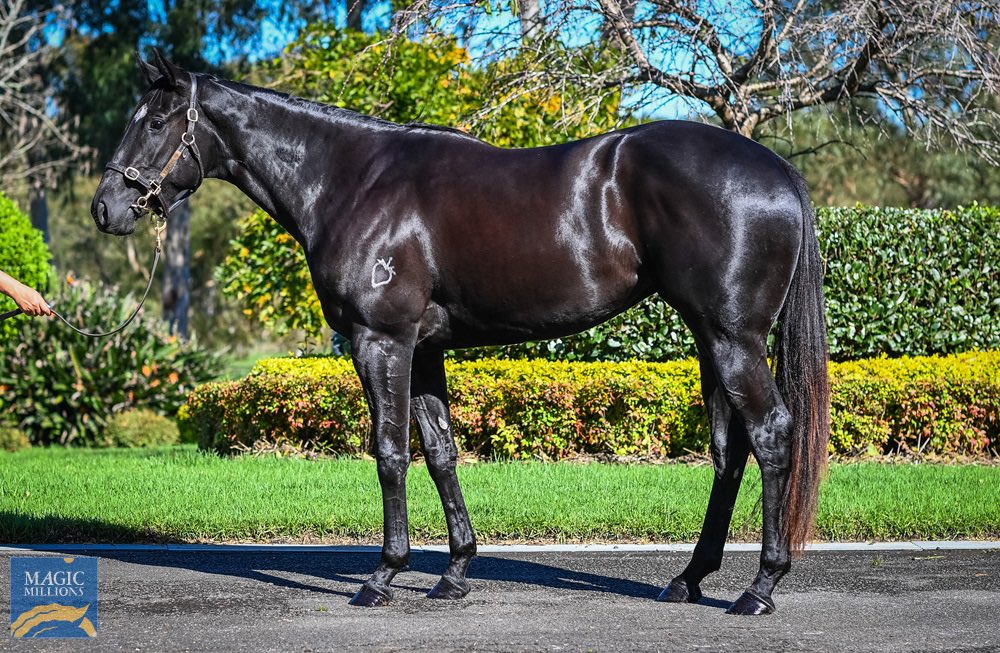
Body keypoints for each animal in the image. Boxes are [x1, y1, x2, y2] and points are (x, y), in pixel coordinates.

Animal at [91, 51, 830, 615]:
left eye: (155, 121)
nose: (106, 208)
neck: (351, 181)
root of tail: (776, 169)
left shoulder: (380, 340)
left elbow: (390, 451)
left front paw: (382, 575)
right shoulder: (423, 350)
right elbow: (441, 451)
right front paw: (453, 573)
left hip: (733, 337)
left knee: (770, 435)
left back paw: (760, 588)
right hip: (710, 336)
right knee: (730, 450)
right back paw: (689, 579)